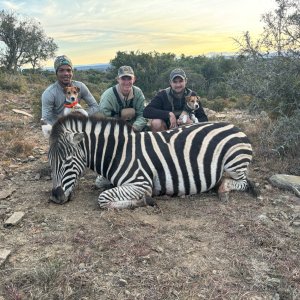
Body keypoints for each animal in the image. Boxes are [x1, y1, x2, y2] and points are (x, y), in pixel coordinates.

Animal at [48, 113, 256, 210]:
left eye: (67, 161)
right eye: (50, 161)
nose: (56, 197)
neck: (117, 152)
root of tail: (234, 126)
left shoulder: (141, 183)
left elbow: (103, 198)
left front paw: (143, 201)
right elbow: (101, 186)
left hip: (234, 163)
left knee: (243, 182)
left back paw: (222, 189)